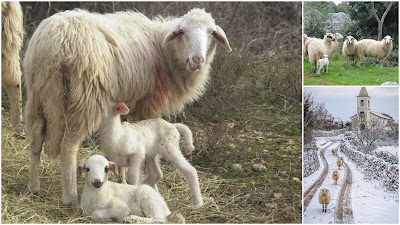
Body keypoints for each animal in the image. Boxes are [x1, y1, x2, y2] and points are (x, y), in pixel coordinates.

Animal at [24, 7, 231, 207]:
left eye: (212, 33)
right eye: (182, 32)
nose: (198, 60)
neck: (164, 52)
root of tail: (55, 42)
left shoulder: (125, 100)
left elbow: (124, 133)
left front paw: (121, 177)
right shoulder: (150, 105)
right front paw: (151, 186)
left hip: (38, 93)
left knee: (36, 136)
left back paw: (34, 187)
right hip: (86, 97)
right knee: (69, 146)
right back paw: (70, 196)